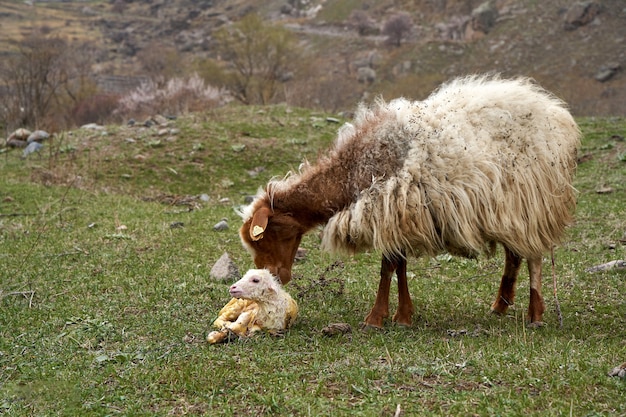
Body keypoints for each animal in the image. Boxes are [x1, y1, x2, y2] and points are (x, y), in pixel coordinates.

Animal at [236, 74, 576, 328]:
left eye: (268, 234)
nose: (276, 278)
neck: (354, 171)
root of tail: (555, 112)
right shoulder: (395, 216)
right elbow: (398, 265)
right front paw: (402, 314)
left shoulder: (391, 209)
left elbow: (388, 267)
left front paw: (377, 317)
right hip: (507, 208)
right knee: (514, 254)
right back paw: (501, 305)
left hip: (533, 200)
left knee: (533, 257)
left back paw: (535, 312)